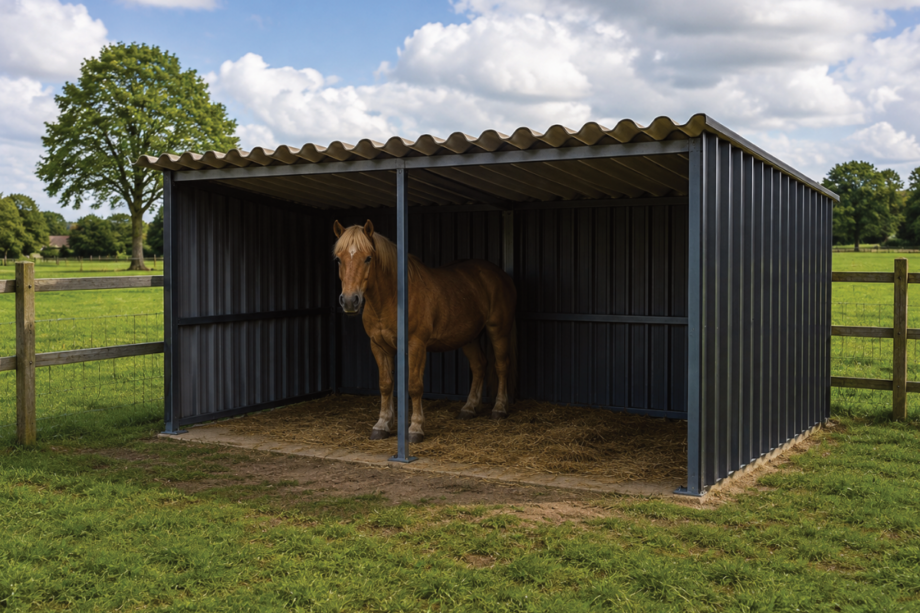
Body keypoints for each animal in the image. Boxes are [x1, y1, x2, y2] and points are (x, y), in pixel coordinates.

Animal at [333, 220, 517, 443]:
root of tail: (500, 274)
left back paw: (499, 409)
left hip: (498, 331)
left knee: (501, 366)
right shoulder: (379, 346)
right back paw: (469, 408)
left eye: (368, 258)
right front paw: (382, 425)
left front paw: (415, 428)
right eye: (339, 259)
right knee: (479, 365)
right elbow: (385, 385)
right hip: (469, 337)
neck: (392, 299)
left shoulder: (416, 345)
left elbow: (414, 386)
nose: (350, 301)